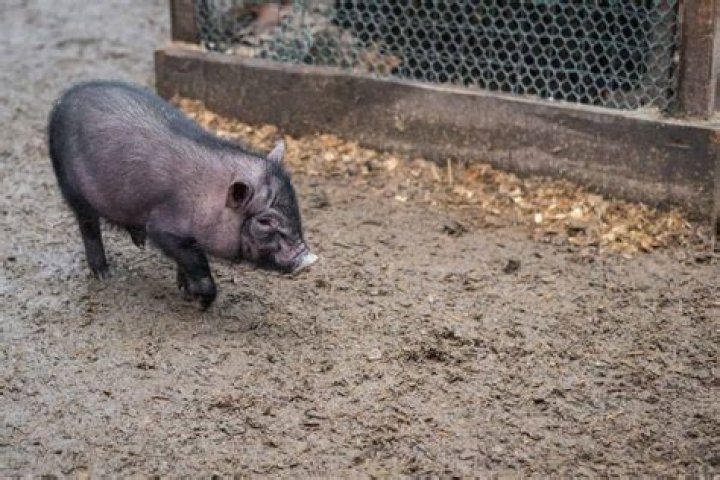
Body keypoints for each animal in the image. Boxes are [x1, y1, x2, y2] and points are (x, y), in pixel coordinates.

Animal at [48, 80, 317, 309]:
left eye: (296, 209)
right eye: (265, 222)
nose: (308, 259)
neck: (211, 199)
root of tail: (63, 99)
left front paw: (184, 289)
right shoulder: (163, 228)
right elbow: (195, 263)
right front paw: (201, 302)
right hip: (71, 186)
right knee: (88, 227)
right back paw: (105, 275)